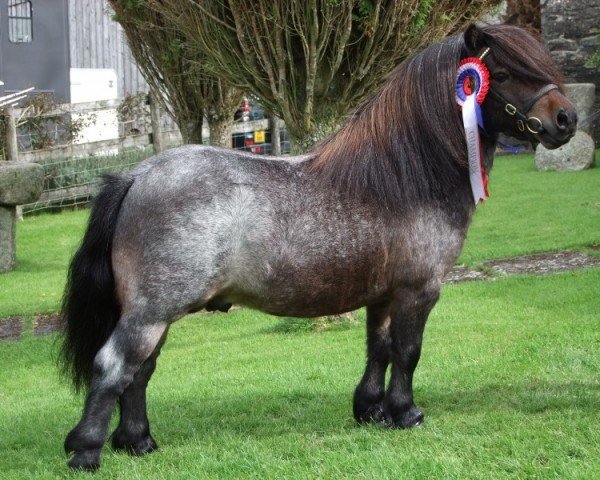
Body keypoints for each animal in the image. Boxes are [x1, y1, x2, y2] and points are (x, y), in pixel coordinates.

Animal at [58, 24, 576, 470]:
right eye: (502, 74)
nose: (566, 119)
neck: (403, 178)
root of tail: (136, 176)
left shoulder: (383, 295)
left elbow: (379, 349)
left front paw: (371, 411)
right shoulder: (419, 290)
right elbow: (408, 351)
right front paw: (406, 413)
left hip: (154, 314)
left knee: (139, 372)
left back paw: (138, 442)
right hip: (151, 312)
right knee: (115, 365)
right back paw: (86, 450)